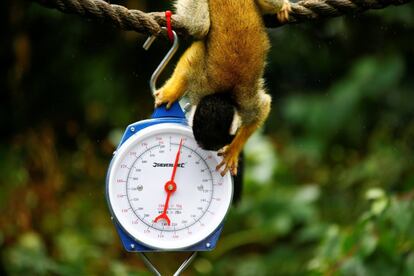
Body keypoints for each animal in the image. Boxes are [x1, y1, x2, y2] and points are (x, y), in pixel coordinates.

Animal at [154, 0, 292, 176]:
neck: (223, 94)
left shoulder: (246, 105)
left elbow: (263, 107)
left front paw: (233, 150)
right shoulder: (202, 85)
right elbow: (194, 58)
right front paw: (171, 94)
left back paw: (283, 6)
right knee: (200, 26)